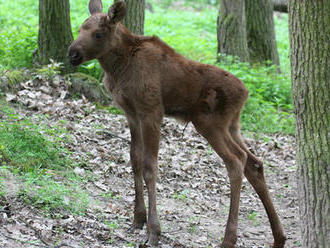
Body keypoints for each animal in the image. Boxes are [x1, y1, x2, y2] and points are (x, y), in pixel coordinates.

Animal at [67, 0, 286, 247]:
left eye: (98, 33)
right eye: (80, 29)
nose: (72, 54)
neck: (118, 67)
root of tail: (246, 93)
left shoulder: (152, 111)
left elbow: (150, 167)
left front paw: (154, 231)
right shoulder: (131, 113)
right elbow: (134, 160)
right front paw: (138, 219)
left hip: (209, 123)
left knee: (237, 160)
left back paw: (228, 238)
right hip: (231, 125)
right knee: (254, 162)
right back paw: (278, 237)